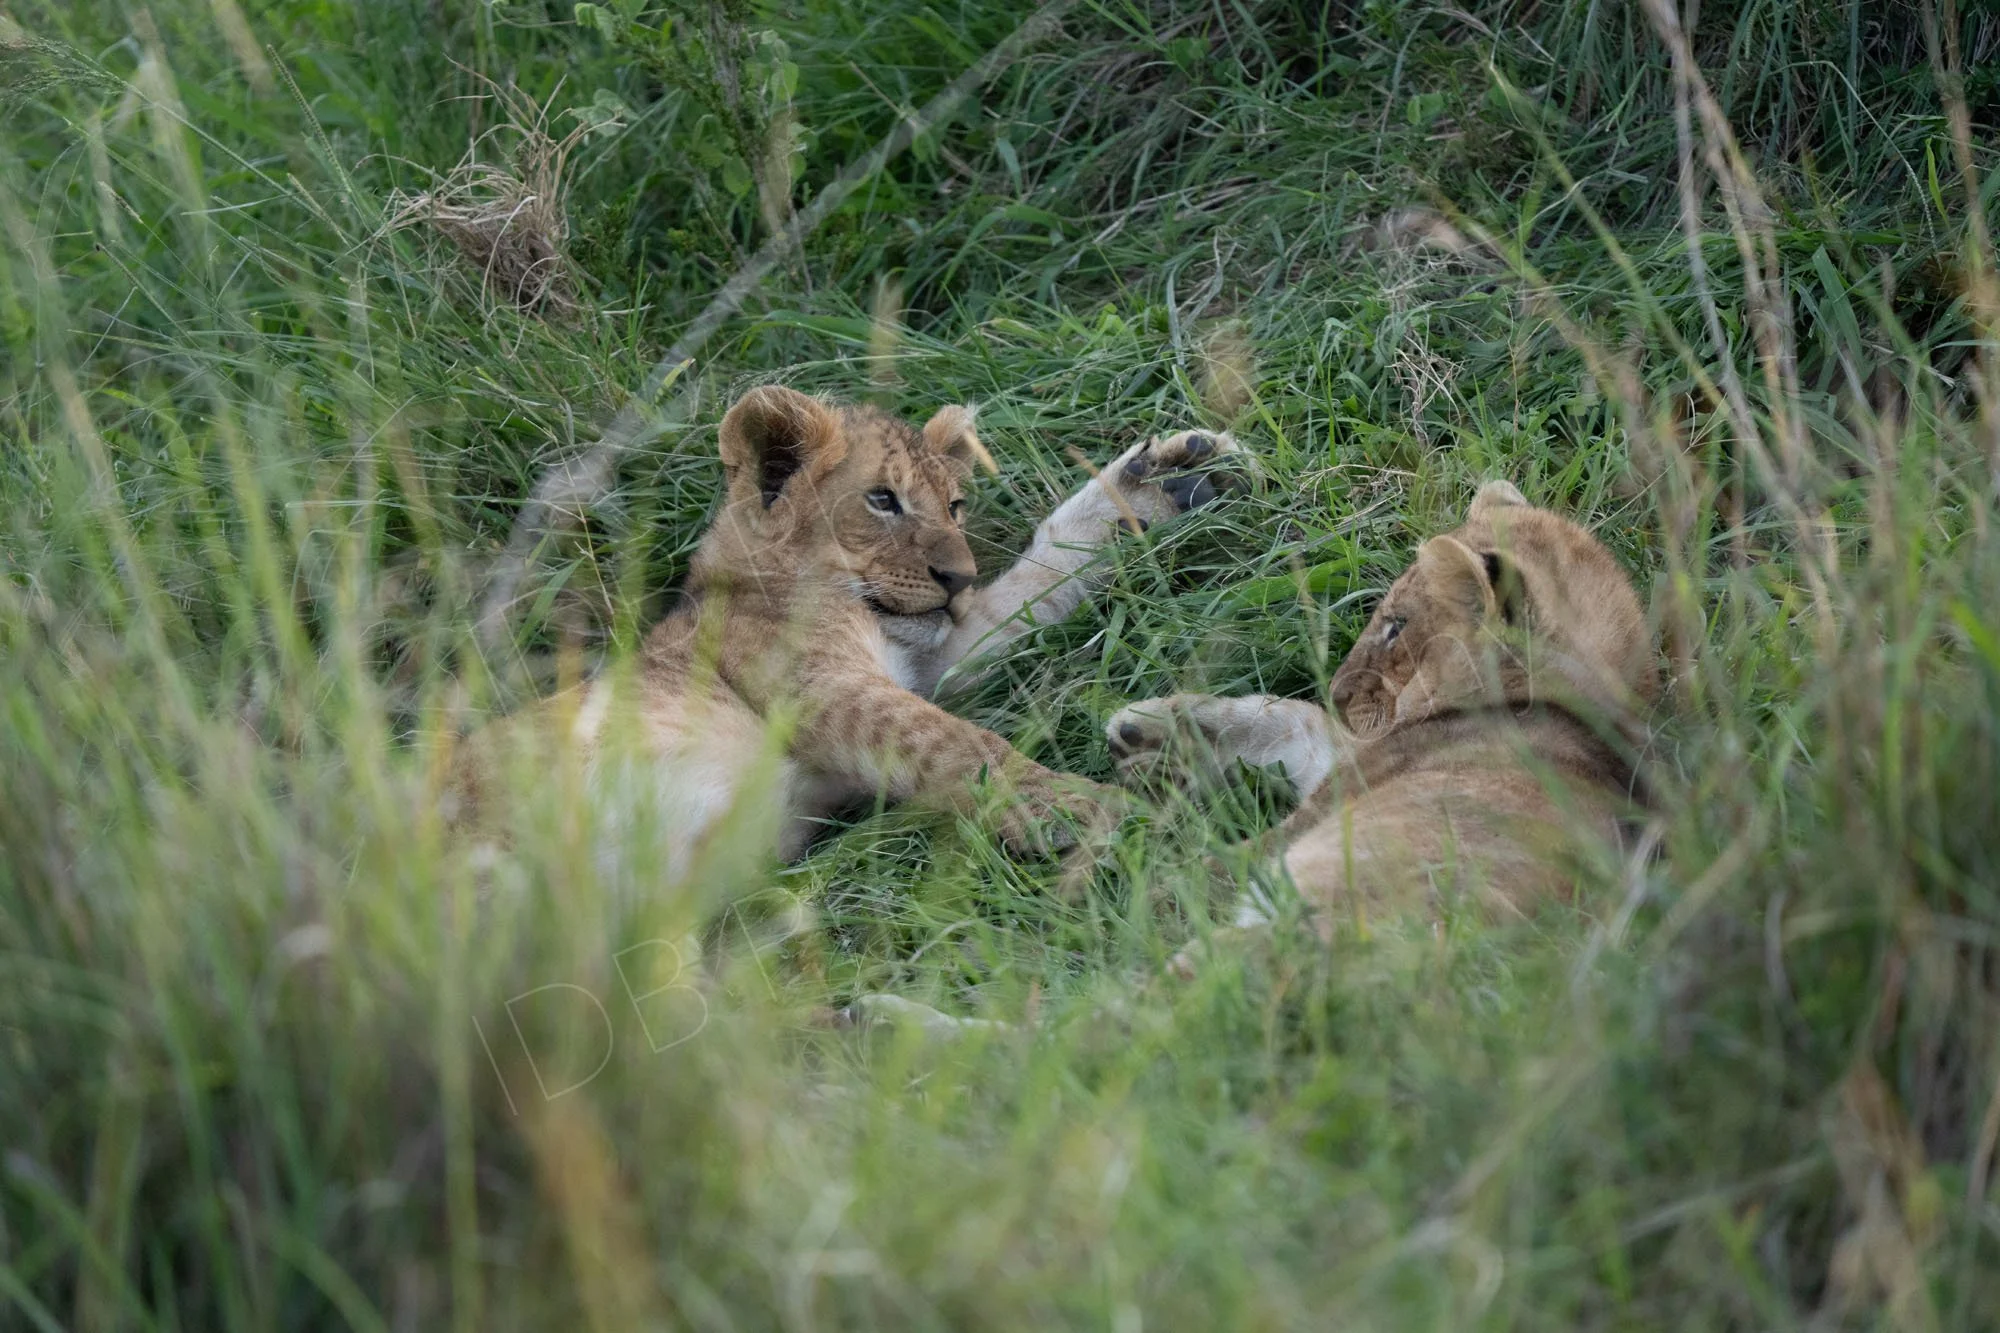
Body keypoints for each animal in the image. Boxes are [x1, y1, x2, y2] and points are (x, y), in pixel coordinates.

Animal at [470, 385, 1243, 882]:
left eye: (954, 505)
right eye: (881, 500)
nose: (957, 578)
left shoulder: (926, 654)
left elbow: (1032, 587)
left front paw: (1161, 481)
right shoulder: (819, 684)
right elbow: (960, 744)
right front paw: (1090, 809)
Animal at [1105, 480, 1657, 948]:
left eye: (1396, 627)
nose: (1336, 690)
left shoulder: (1330, 803)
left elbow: (1209, 870)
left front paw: (1123, 895)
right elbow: (1286, 716)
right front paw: (1142, 732)